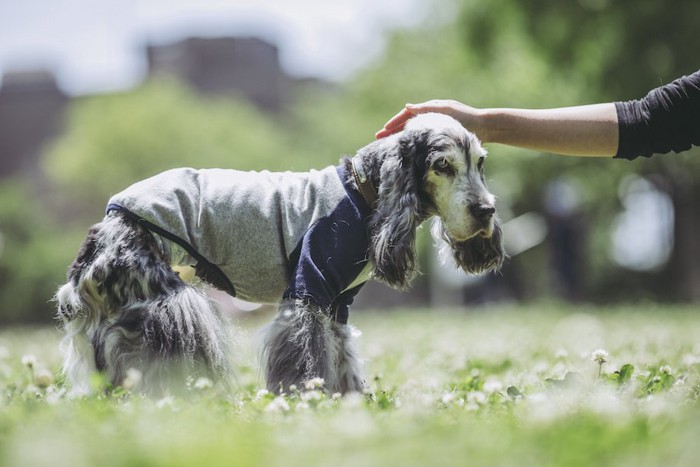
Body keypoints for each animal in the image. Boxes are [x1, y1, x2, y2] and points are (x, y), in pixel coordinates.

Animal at [54, 112, 504, 394]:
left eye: (480, 162)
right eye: (442, 166)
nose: (486, 210)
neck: (363, 193)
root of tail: (105, 227)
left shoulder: (337, 305)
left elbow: (342, 361)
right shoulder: (308, 292)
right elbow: (306, 359)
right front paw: (307, 402)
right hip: (174, 309)